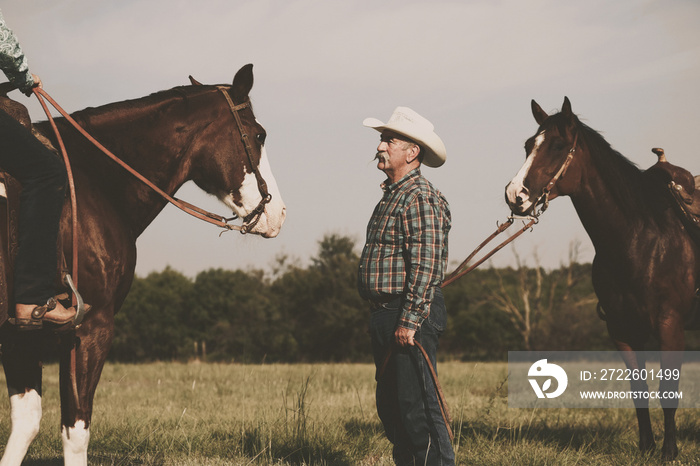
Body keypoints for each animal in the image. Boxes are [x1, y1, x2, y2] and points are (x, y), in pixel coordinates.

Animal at [0, 63, 286, 464]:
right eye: (259, 134)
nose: (278, 214)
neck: (92, 185)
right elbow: (75, 433)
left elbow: (26, 425)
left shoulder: (20, 335)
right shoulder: (89, 329)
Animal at [506, 96, 696, 460]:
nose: (514, 194)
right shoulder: (622, 330)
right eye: (527, 145)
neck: (642, 238)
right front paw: (647, 448)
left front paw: (669, 452)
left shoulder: (670, 326)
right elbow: (639, 390)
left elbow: (668, 390)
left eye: (558, 145)